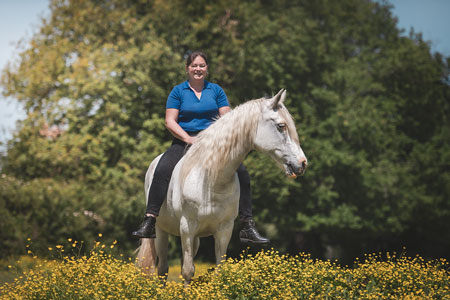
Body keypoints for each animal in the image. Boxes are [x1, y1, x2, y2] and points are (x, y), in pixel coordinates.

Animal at [136, 89, 306, 284]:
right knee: (163, 269)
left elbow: (217, 271)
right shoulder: (187, 227)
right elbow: (187, 272)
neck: (210, 181)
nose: (302, 163)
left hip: (194, 238)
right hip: (161, 232)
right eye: (281, 126)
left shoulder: (224, 230)